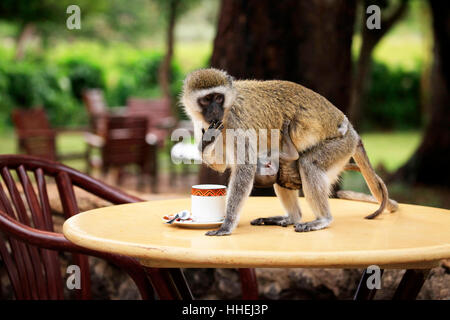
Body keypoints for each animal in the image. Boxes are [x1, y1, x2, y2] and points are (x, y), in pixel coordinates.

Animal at [181, 69, 396, 236]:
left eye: (218, 98)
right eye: (206, 100)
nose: (214, 111)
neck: (226, 113)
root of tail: (351, 131)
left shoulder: (237, 122)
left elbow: (245, 168)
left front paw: (226, 225)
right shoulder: (203, 123)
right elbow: (221, 164)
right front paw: (207, 141)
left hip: (341, 145)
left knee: (309, 164)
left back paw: (323, 219)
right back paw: (292, 217)